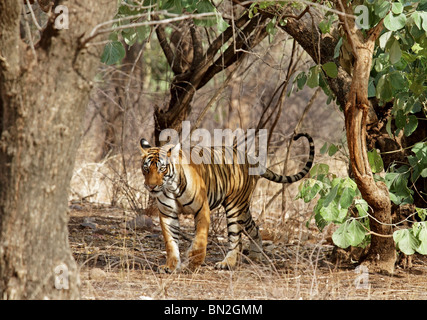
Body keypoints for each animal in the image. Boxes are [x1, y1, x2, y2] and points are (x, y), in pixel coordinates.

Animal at [140, 132, 314, 272]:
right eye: (146, 169)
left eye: (162, 169)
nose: (151, 186)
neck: (171, 188)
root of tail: (249, 157)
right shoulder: (167, 214)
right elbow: (171, 243)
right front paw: (170, 266)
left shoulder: (202, 209)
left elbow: (200, 239)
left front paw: (193, 262)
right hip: (243, 208)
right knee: (254, 228)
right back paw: (256, 255)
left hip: (235, 207)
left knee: (236, 239)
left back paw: (227, 263)